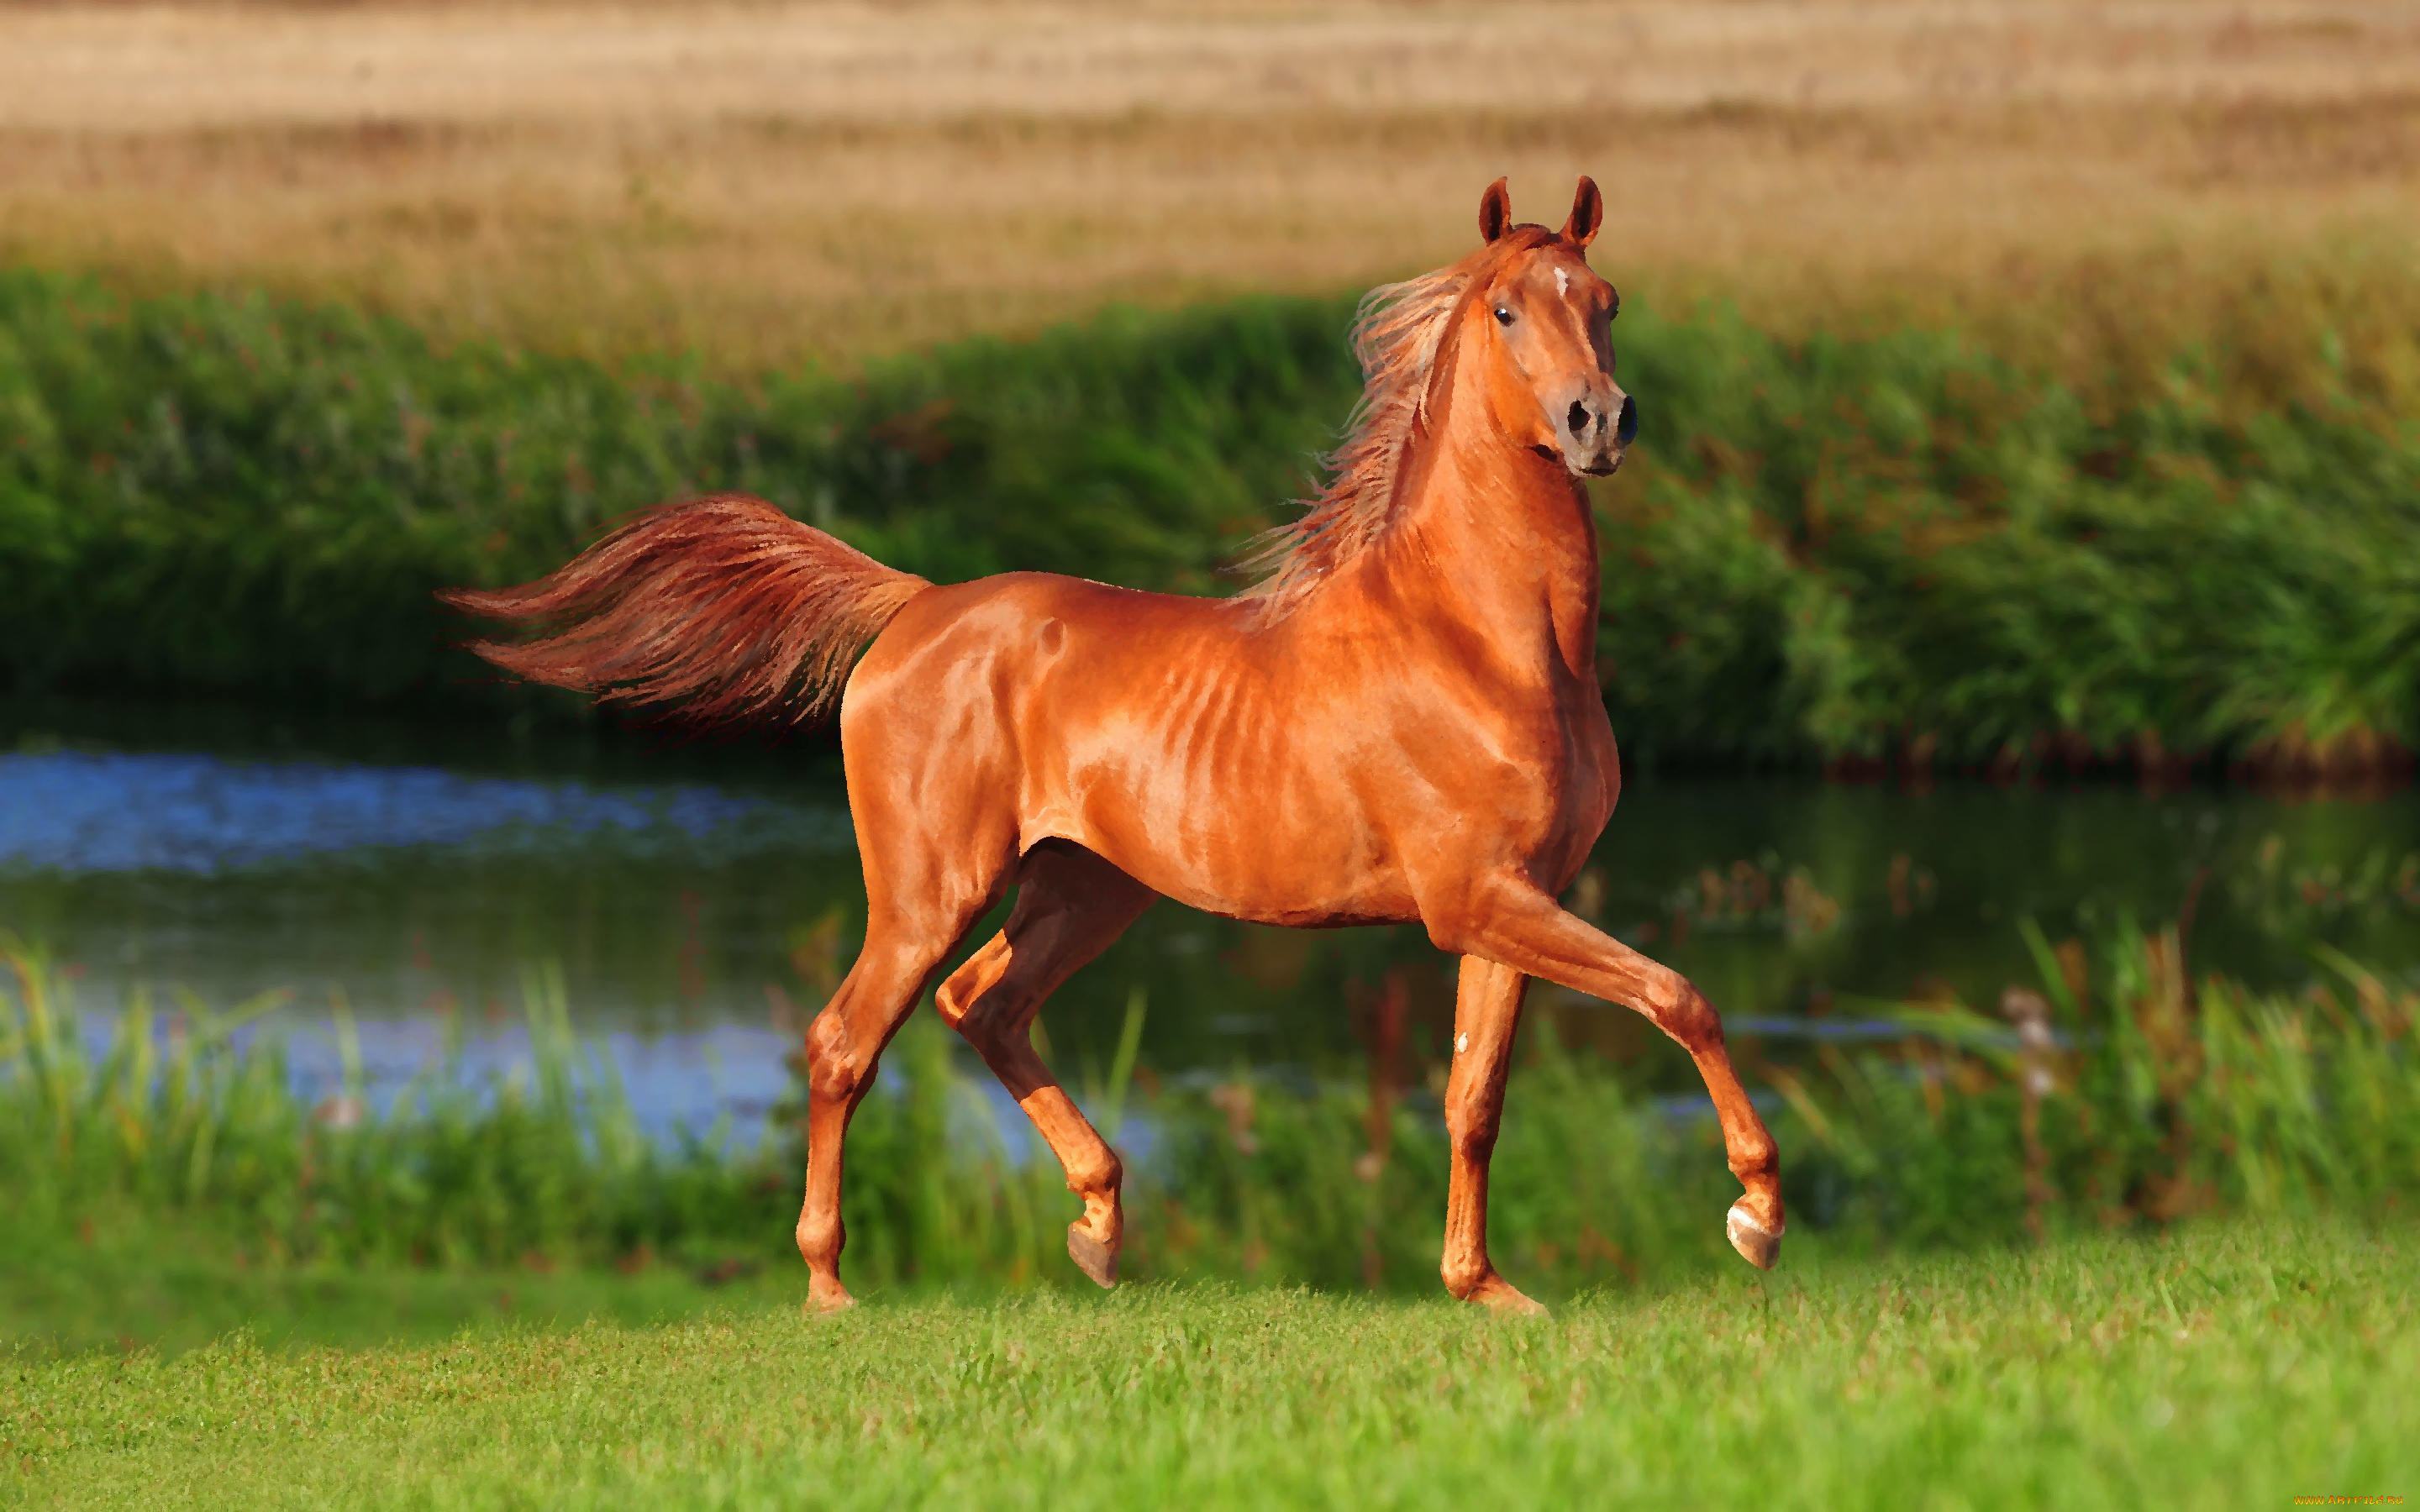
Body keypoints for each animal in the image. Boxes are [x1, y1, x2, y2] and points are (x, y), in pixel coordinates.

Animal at [450, 180, 1781, 1306]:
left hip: (1086, 888)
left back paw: (1096, 1226)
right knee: (845, 1042)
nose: (1599, 420)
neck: (1483, 639)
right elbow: (1683, 996)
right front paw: (1754, 1215)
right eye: (1507, 309)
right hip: (935, 888)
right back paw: (832, 1284)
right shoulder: (1477, 900)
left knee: (983, 1007)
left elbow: (1475, 1099)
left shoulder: (1510, 900)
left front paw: (1485, 1290)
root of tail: (914, 606)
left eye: (1606, 303)